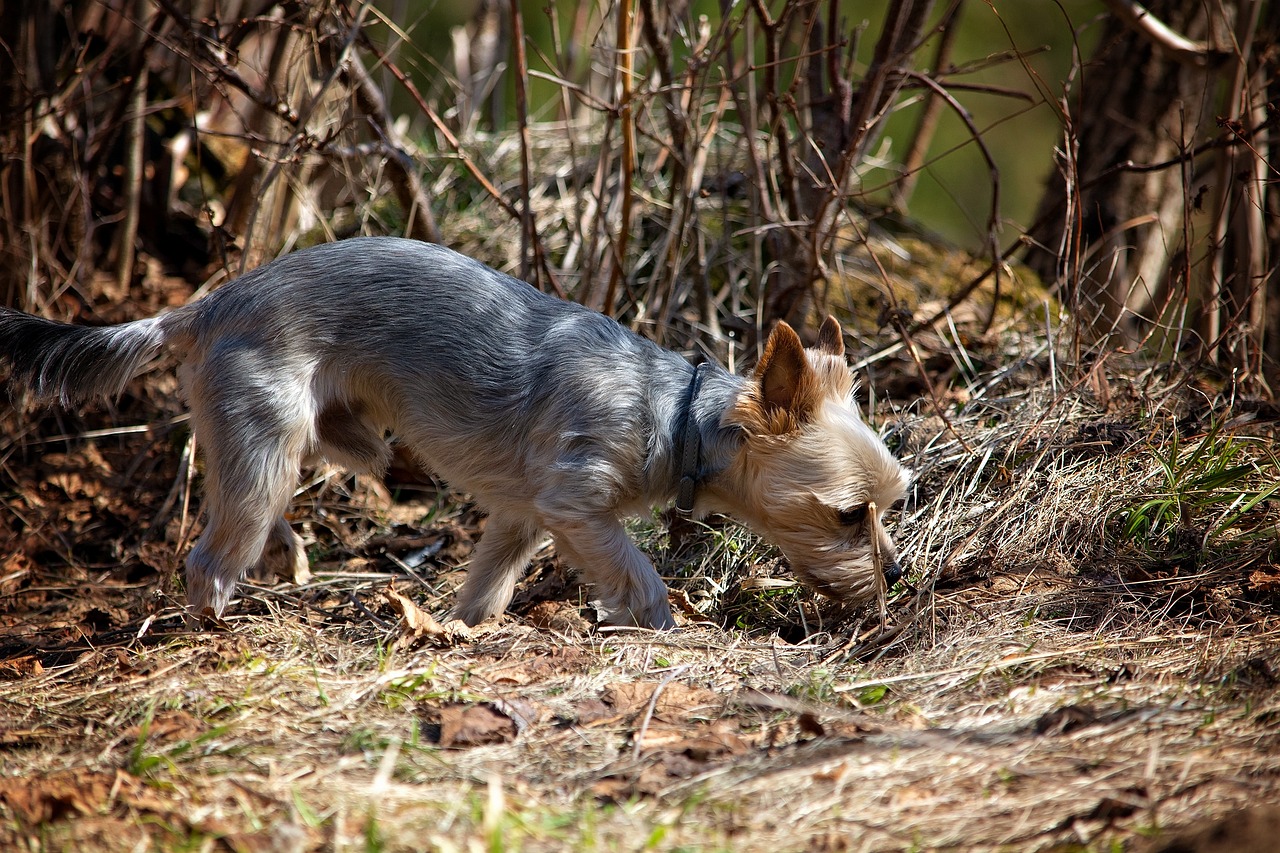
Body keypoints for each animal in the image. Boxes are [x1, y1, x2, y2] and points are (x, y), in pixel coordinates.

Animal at [0, 235, 911, 627]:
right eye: (848, 514)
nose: (897, 575)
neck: (677, 414)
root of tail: (206, 304)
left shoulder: (521, 515)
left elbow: (489, 583)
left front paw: (464, 630)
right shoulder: (576, 505)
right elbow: (640, 576)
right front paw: (659, 628)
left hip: (307, 437)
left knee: (274, 484)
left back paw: (298, 541)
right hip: (266, 439)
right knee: (211, 555)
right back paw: (215, 626)